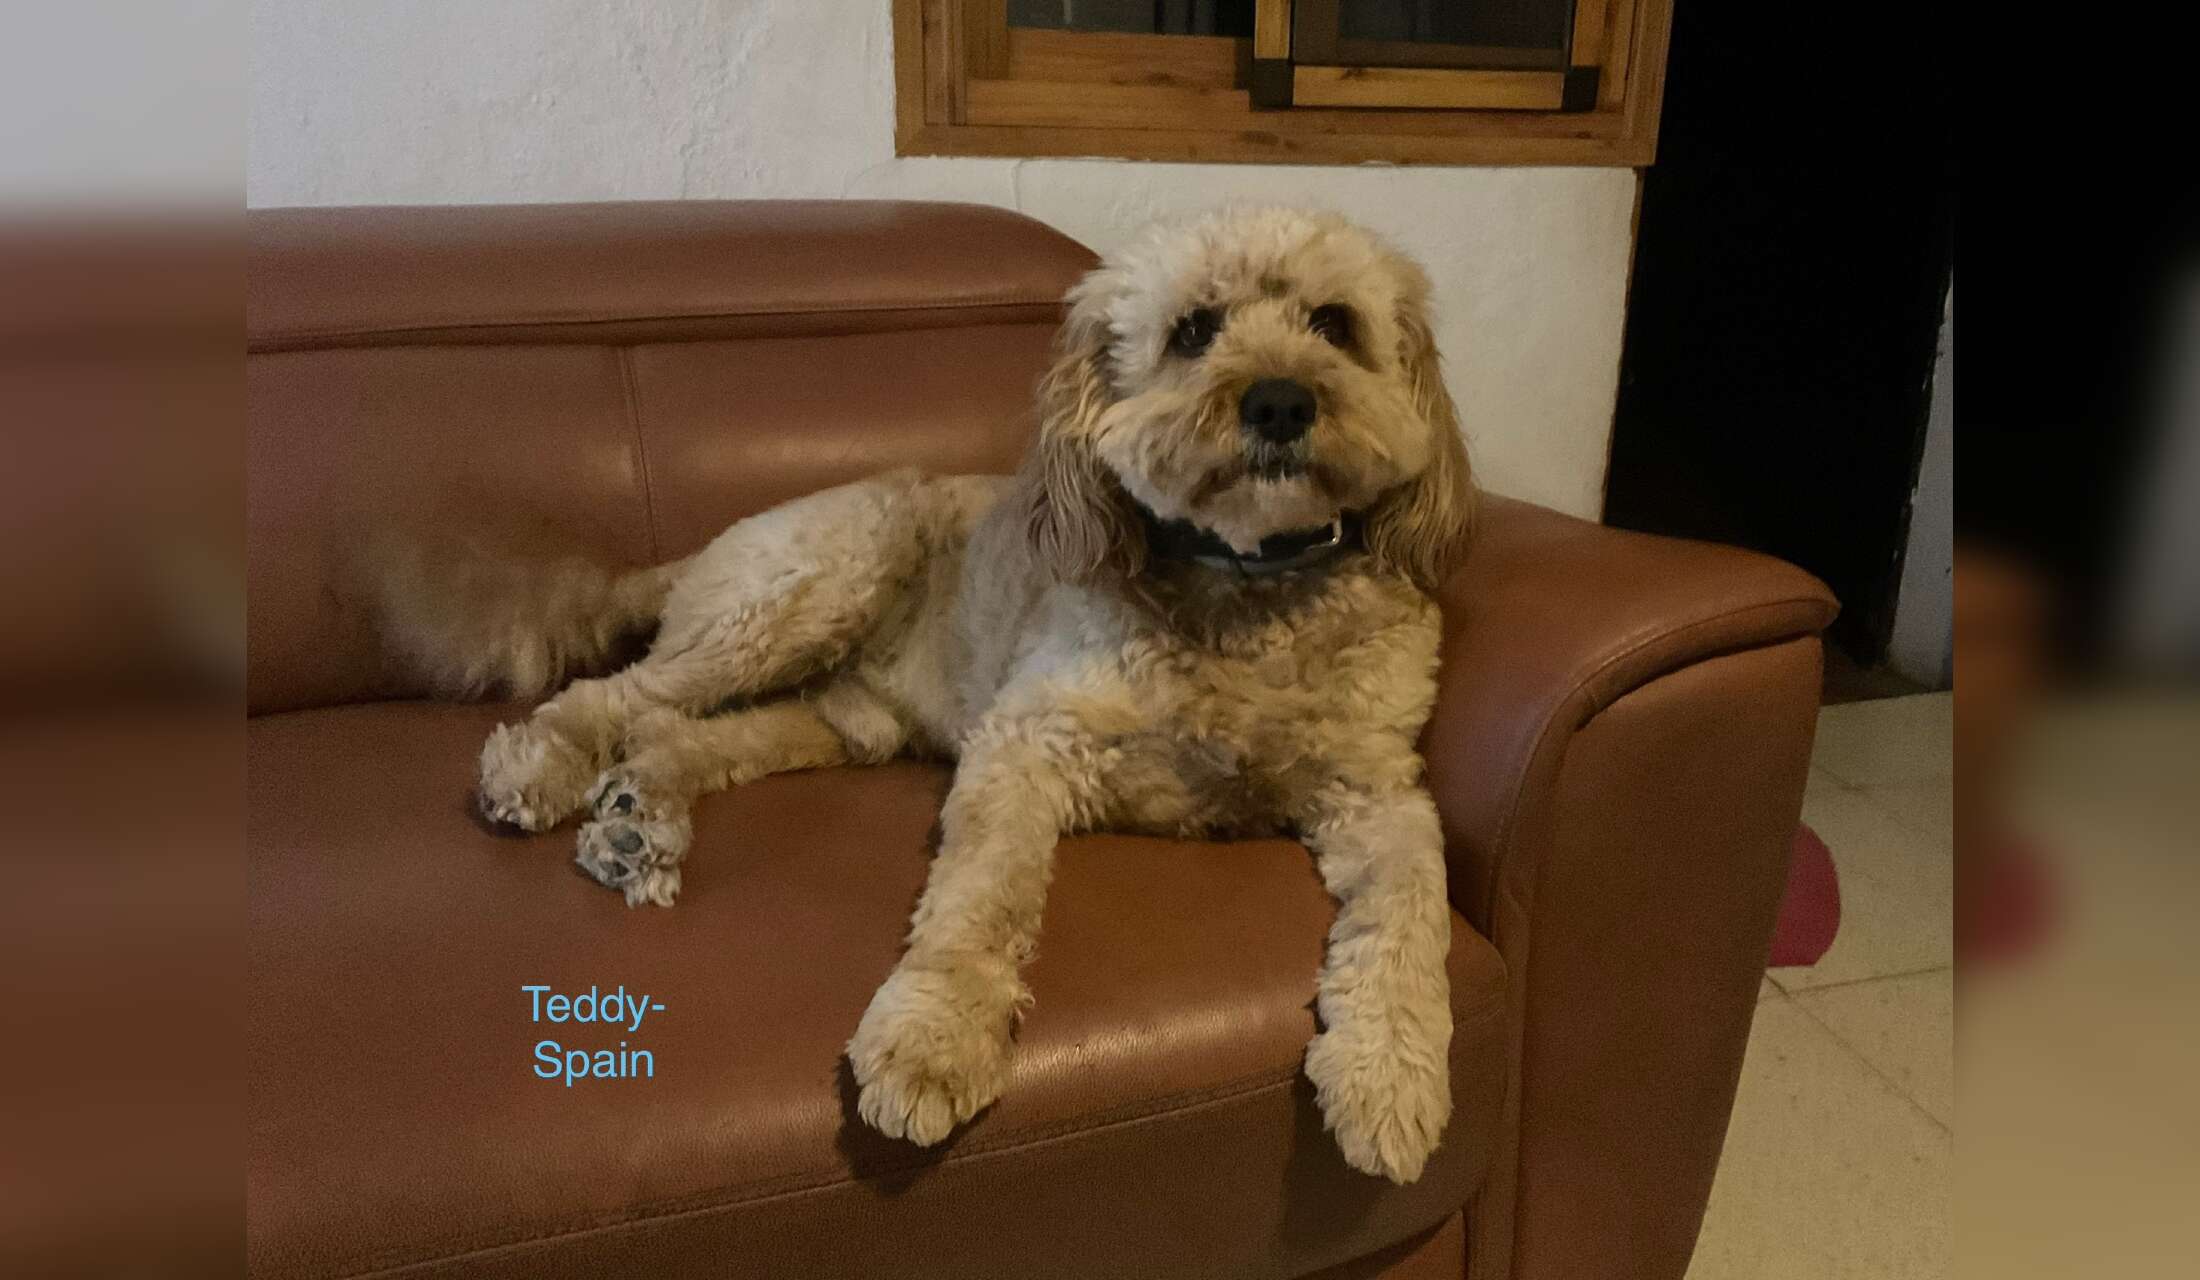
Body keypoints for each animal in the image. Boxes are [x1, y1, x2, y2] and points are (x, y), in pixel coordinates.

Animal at [409, 208, 1476, 1184]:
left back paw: (639, 822)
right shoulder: (1025, 742)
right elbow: (980, 899)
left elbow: (1411, 913)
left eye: (1334, 323)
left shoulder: (1379, 793)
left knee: (681, 733)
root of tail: (710, 545)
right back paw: (537, 766)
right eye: (1193, 330)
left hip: (834, 719)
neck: (1245, 591)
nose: (1281, 402)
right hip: (809, 586)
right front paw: (932, 1042)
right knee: (617, 692)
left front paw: (1391, 1077)